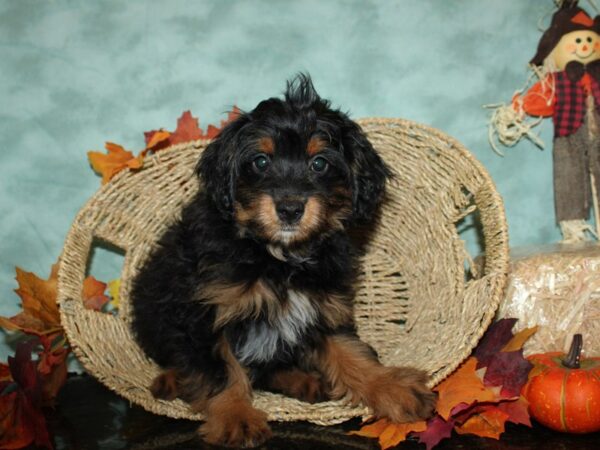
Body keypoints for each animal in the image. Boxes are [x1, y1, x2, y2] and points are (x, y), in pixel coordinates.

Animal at [130, 74, 436, 446]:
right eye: (261, 161)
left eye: (319, 163)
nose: (290, 209)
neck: (279, 257)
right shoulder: (204, 312)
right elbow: (222, 370)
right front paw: (236, 416)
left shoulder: (322, 308)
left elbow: (350, 351)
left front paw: (391, 385)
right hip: (151, 307)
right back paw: (172, 379)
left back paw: (305, 380)